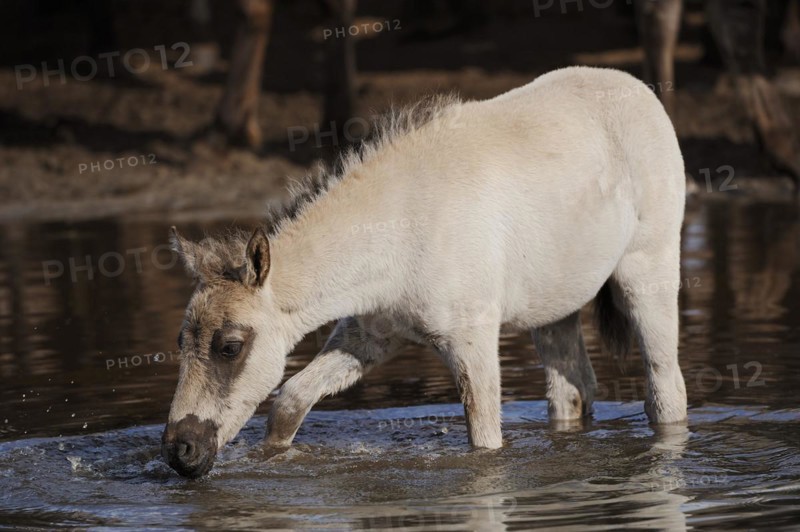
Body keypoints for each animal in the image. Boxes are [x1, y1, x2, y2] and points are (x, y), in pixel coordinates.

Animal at [161, 66, 688, 478]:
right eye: (181, 342)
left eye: (230, 347)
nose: (181, 451)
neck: (402, 228)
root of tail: (639, 91)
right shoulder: (371, 336)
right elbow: (289, 401)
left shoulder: (472, 341)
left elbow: (484, 443)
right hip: (553, 310)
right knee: (573, 392)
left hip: (647, 274)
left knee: (666, 389)